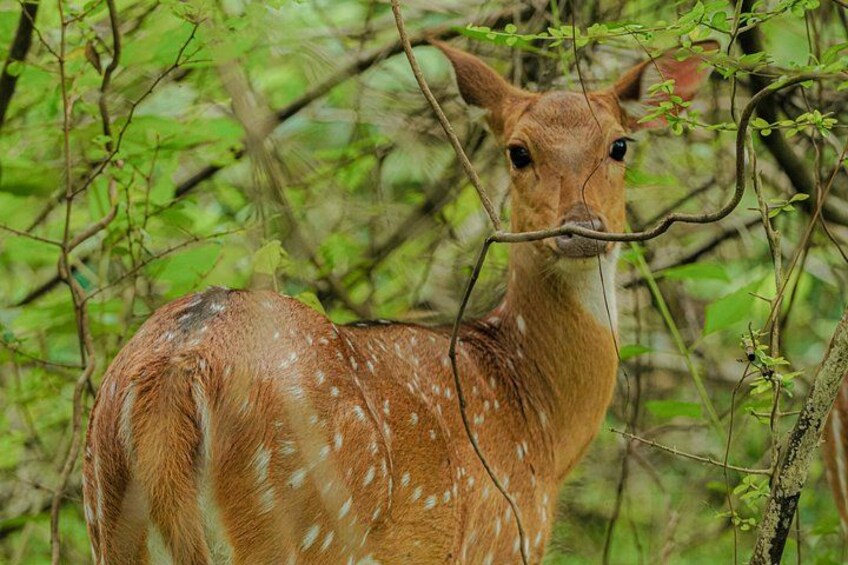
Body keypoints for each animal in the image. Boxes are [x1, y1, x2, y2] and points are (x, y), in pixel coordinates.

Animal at [81, 40, 716, 564]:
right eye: (518, 151)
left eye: (619, 145)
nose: (581, 227)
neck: (537, 417)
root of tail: (178, 369)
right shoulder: (501, 540)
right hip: (303, 527)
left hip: (107, 519)